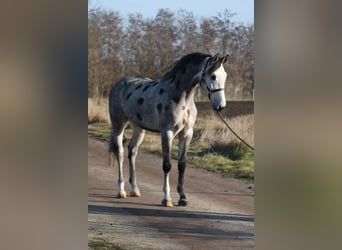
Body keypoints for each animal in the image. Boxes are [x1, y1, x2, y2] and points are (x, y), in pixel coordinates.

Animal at [108, 51, 228, 207]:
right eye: (213, 76)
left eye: (225, 75)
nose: (221, 106)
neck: (181, 98)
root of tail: (119, 84)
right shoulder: (167, 133)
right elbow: (167, 165)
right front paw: (167, 199)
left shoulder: (187, 133)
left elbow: (182, 164)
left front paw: (183, 198)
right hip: (118, 124)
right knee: (120, 153)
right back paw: (121, 191)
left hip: (139, 129)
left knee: (132, 152)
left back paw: (135, 190)